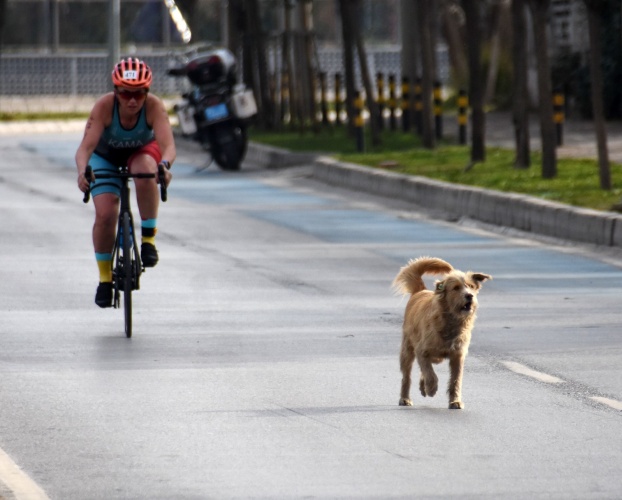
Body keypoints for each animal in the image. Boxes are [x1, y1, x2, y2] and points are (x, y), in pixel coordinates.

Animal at [394, 258, 492, 410]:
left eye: (471, 286)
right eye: (456, 288)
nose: (469, 296)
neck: (450, 320)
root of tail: (421, 290)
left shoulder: (458, 356)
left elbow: (456, 380)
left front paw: (455, 401)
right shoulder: (422, 351)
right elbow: (430, 374)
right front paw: (431, 388)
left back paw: (422, 387)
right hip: (407, 350)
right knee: (407, 376)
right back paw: (405, 398)